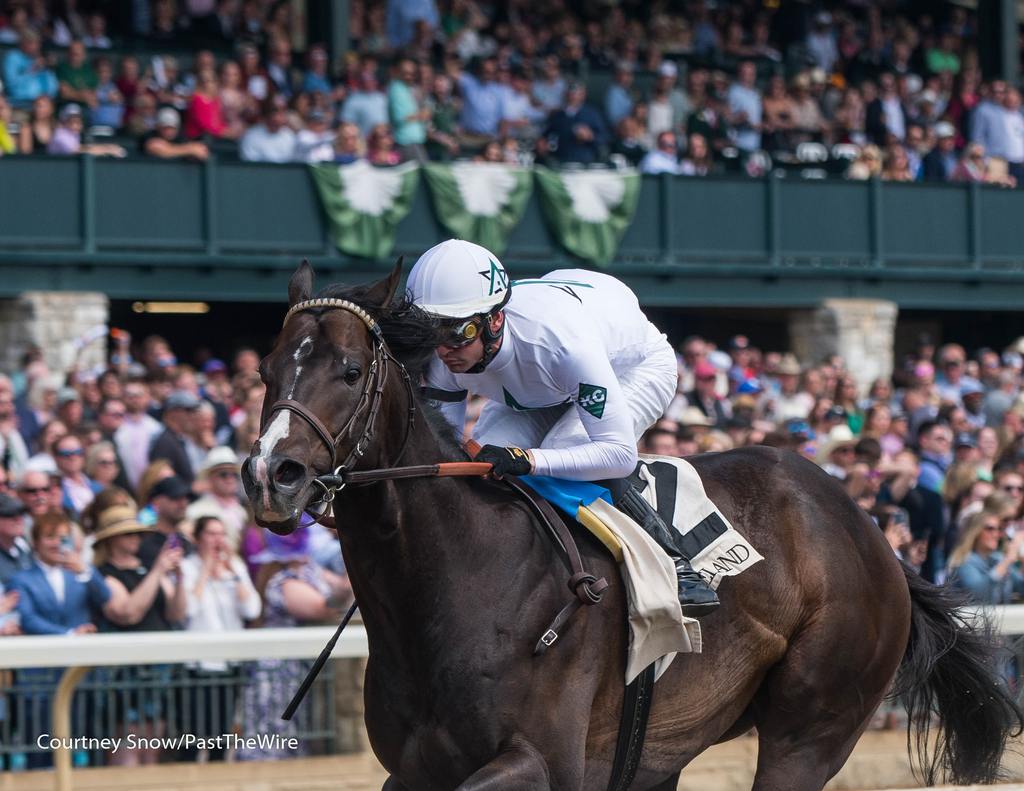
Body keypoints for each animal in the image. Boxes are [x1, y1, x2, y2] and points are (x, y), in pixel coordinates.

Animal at [243, 261, 1019, 790]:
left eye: (349, 369)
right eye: (267, 369)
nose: (270, 475)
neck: (455, 583)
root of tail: (869, 529)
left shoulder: (541, 761)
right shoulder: (414, 770)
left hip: (812, 726)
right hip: (660, 749)